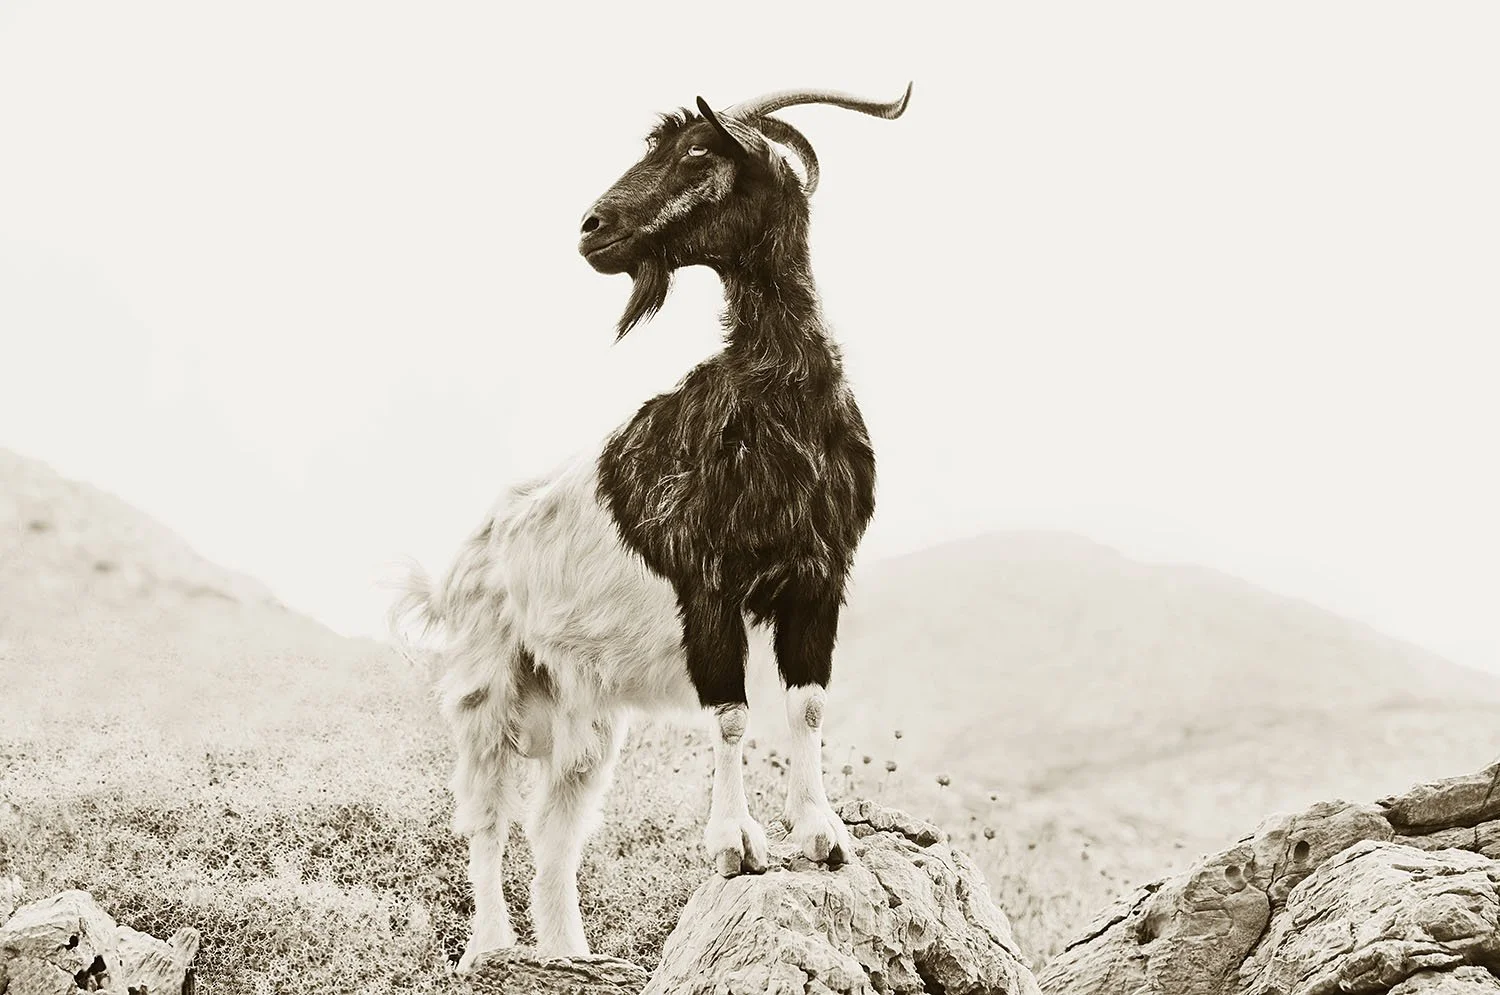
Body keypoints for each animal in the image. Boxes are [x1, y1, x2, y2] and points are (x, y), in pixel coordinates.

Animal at [391, 83, 911, 970]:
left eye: (700, 150)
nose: (591, 227)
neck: (777, 398)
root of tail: (459, 566)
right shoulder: (709, 586)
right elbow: (732, 713)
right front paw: (737, 846)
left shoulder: (818, 579)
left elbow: (806, 706)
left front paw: (824, 834)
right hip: (484, 683)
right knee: (486, 817)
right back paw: (492, 947)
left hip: (584, 714)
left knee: (554, 832)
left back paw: (569, 951)